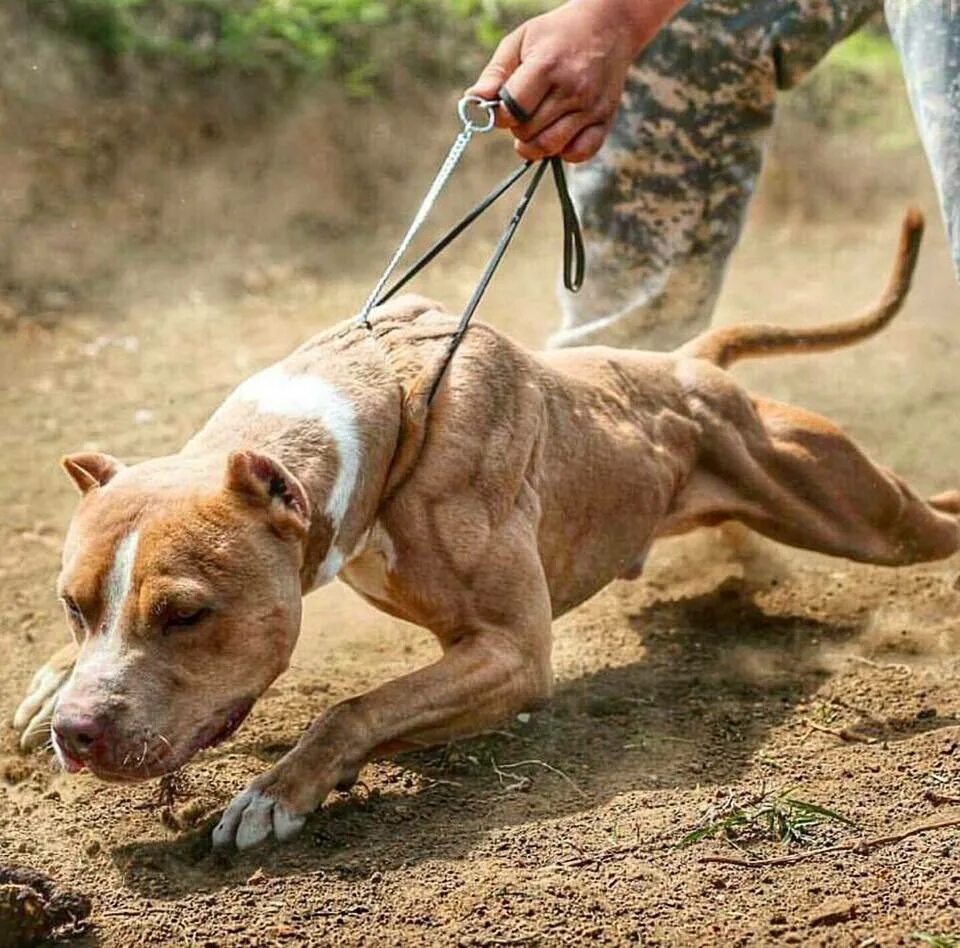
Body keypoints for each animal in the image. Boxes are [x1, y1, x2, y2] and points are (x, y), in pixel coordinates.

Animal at [9, 209, 960, 852]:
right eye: (72, 606)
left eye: (186, 615)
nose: (80, 735)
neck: (390, 407)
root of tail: (692, 366)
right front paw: (52, 685)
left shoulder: (511, 650)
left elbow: (356, 706)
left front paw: (279, 791)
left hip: (865, 520)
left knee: (928, 516)